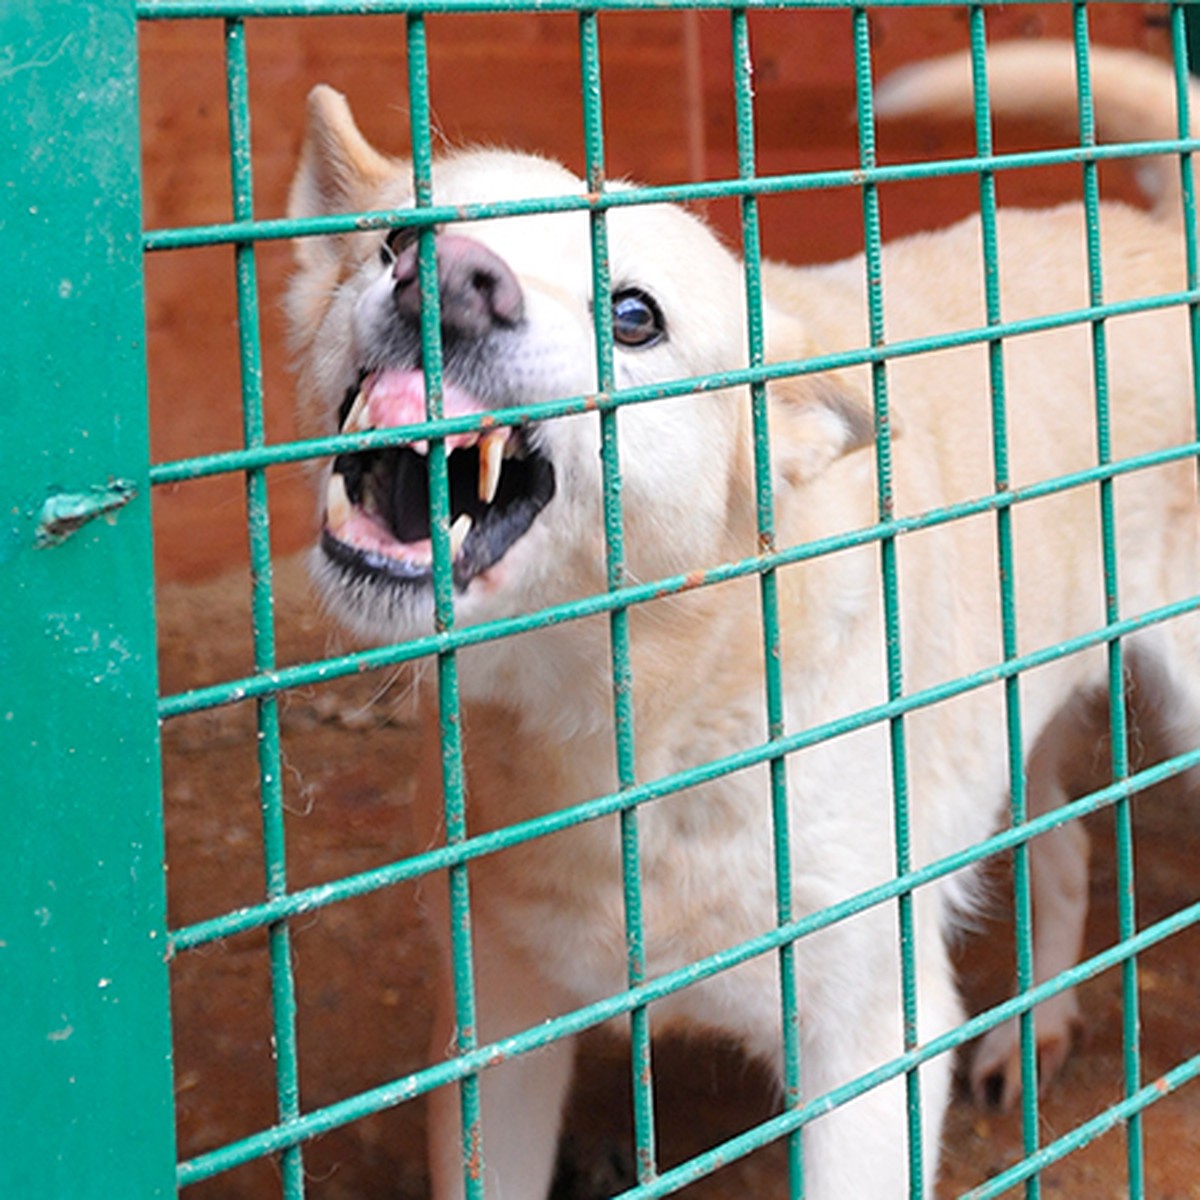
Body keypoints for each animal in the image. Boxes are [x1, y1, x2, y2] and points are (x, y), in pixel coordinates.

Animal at [288, 39, 1200, 1200]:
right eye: (398, 238)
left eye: (634, 316)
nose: (449, 281)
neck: (636, 736)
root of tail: (1162, 236)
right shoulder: (496, 1043)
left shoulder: (872, 1059)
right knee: (1070, 846)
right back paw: (1030, 1033)